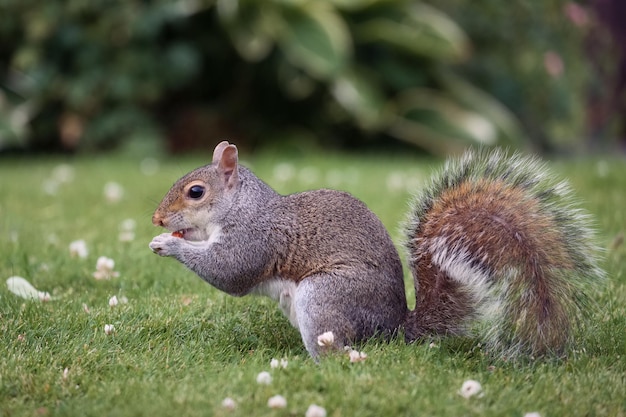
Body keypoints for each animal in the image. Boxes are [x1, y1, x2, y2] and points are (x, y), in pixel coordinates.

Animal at [149, 140, 604, 358]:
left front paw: (167, 244)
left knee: (336, 348)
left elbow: (228, 272)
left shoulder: (254, 239)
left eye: (195, 192)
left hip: (327, 296)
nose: (156, 219)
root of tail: (394, 327)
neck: (243, 206)